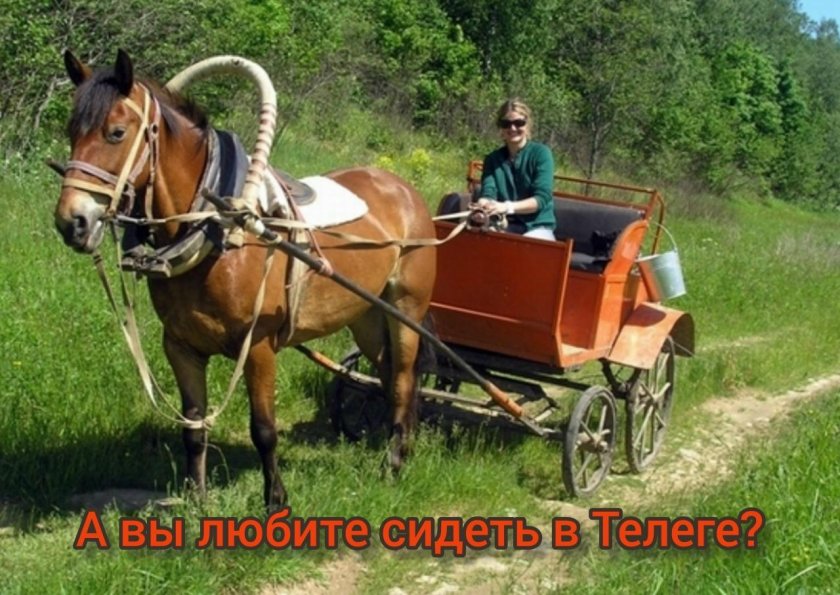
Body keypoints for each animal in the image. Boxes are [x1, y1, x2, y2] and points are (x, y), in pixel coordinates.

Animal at [53, 50, 436, 511]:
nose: (72, 221)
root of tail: (404, 189)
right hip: (364, 314)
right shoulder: (179, 347)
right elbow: (193, 427)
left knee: (403, 377)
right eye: (72, 131)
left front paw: (276, 501)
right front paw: (196, 498)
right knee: (388, 373)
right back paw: (398, 445)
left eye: (116, 132)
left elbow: (264, 430)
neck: (216, 229)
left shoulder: (258, 348)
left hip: (404, 308)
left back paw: (394, 463)